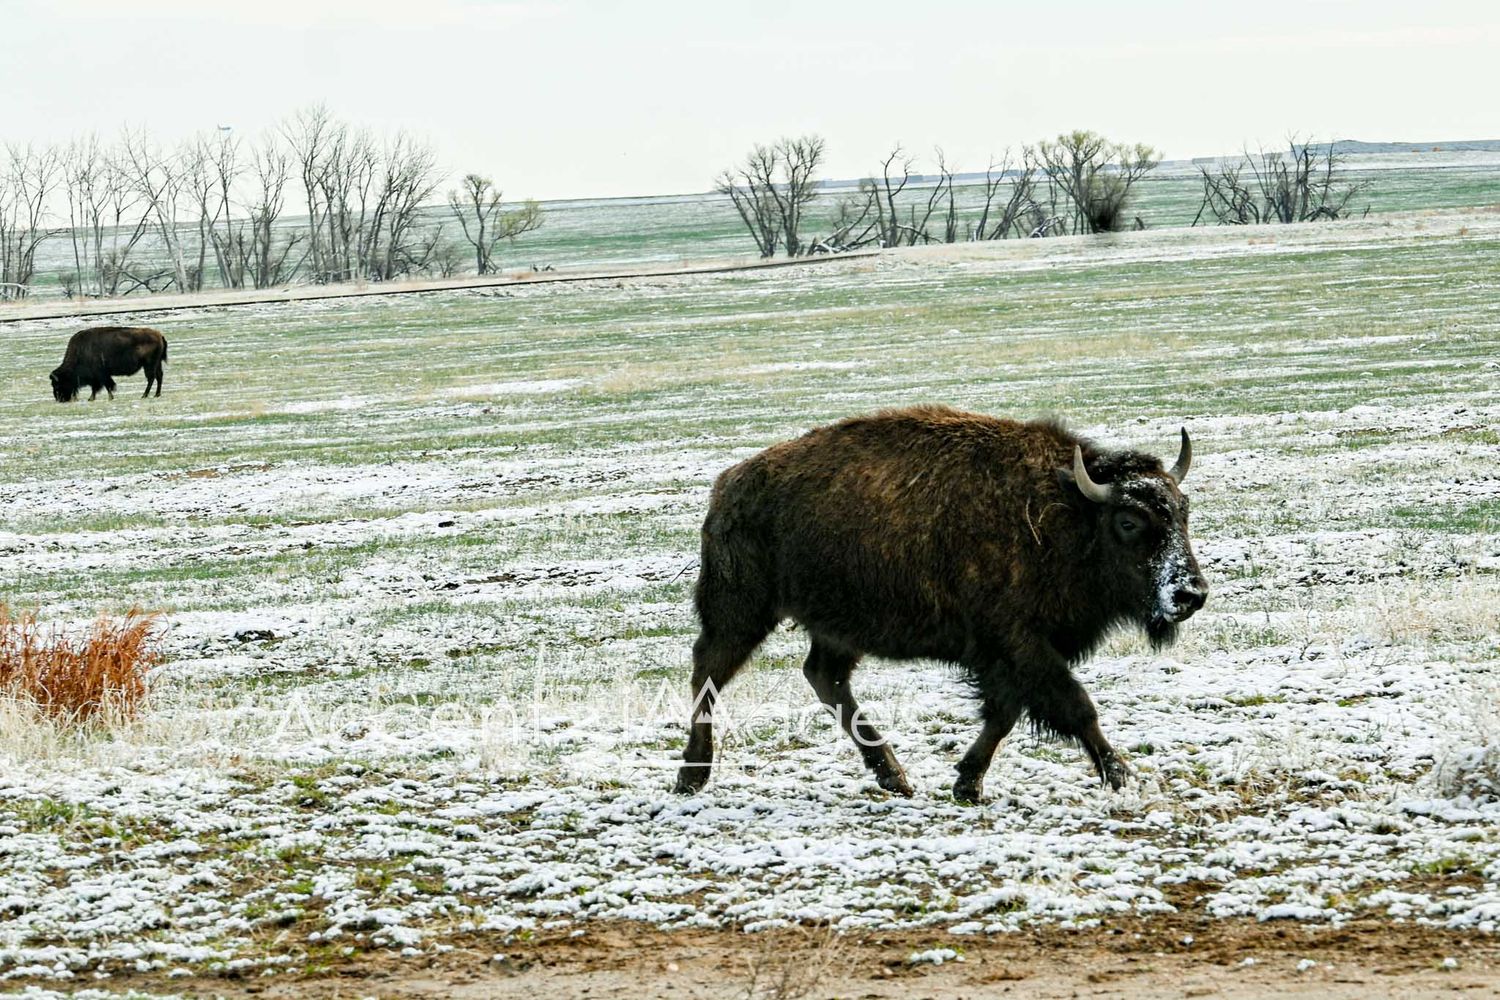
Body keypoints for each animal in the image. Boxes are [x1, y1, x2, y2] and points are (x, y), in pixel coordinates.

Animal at [673, 406, 1208, 801]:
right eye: (1129, 521)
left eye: (1182, 512)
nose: (1191, 594)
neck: (1064, 513)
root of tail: (727, 486)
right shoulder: (1020, 646)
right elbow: (1076, 706)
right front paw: (1124, 776)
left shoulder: (1009, 656)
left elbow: (1004, 714)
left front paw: (967, 783)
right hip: (741, 612)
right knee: (708, 673)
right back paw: (692, 776)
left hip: (837, 627)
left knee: (826, 679)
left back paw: (895, 777)